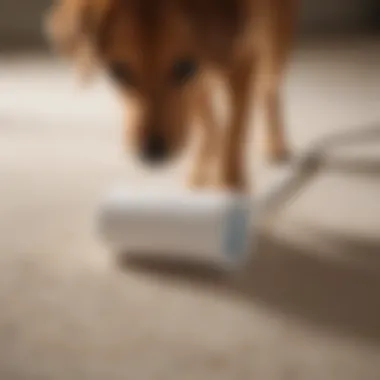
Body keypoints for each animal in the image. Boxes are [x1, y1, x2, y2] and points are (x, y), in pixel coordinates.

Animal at [44, 0, 298, 190]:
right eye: (118, 71)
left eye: (184, 66)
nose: (151, 154)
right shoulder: (200, 80)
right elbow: (211, 128)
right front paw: (205, 171)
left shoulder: (241, 60)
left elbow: (234, 134)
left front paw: (231, 186)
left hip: (276, 35)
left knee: (268, 88)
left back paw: (276, 144)